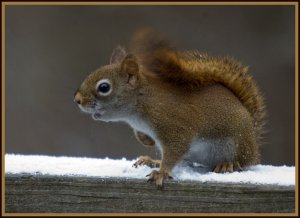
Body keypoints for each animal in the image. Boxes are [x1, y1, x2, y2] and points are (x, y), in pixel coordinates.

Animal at [74, 28, 266, 187]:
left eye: (104, 87)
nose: (77, 100)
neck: (140, 106)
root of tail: (253, 140)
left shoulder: (173, 127)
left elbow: (175, 149)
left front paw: (161, 173)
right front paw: (146, 142)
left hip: (237, 144)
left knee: (244, 162)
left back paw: (228, 164)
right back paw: (152, 161)